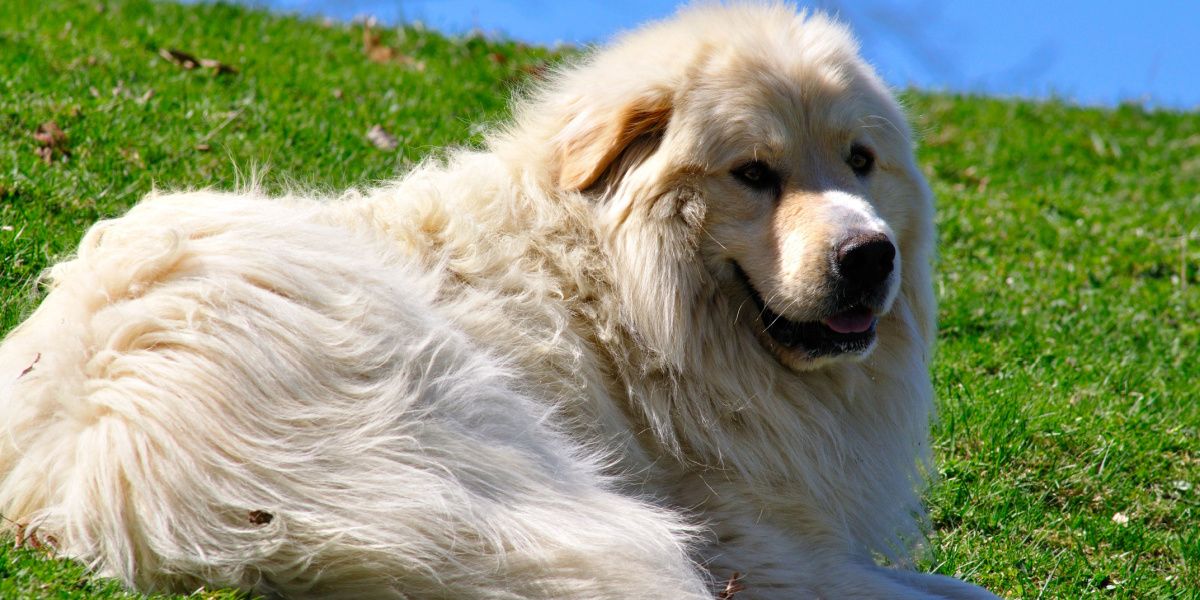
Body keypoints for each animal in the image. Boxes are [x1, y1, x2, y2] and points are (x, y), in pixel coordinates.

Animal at [0, 4, 993, 600]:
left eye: (861, 160)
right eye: (754, 173)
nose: (870, 255)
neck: (617, 296)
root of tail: (107, 438)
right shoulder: (774, 551)